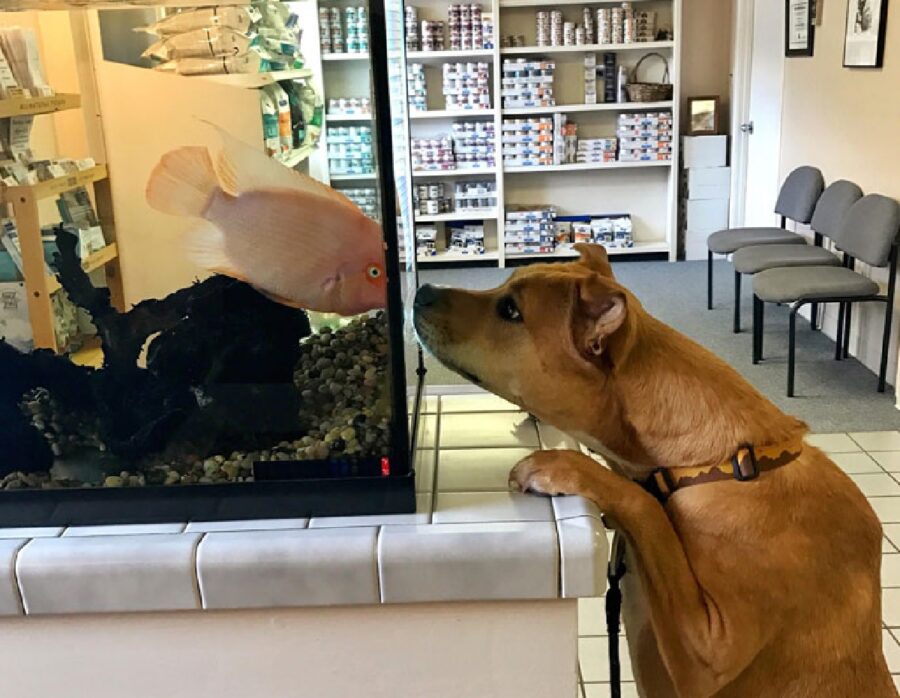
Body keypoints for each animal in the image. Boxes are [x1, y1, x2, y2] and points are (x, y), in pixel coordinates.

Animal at [414, 245, 892, 696]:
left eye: (511, 310)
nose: (422, 292)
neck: (715, 463)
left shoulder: (709, 650)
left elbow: (647, 509)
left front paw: (567, 465)